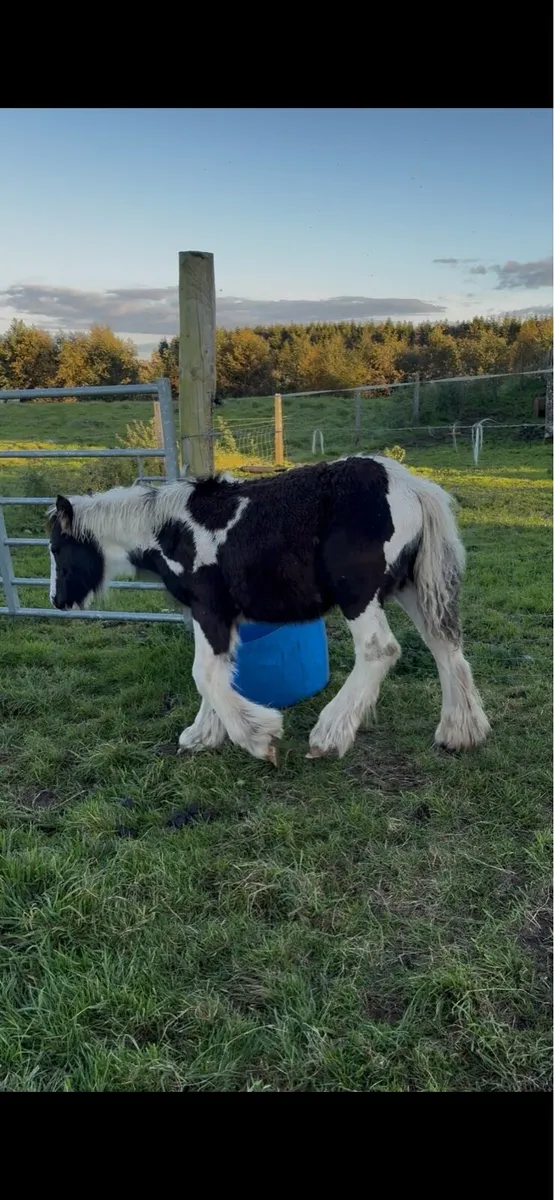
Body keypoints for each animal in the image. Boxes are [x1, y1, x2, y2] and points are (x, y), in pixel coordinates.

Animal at [47, 455, 490, 764]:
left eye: (56, 548)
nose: (56, 600)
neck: (169, 530)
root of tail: (412, 486)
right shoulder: (219, 617)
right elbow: (216, 672)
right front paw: (204, 735)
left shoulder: (210, 611)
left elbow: (204, 674)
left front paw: (260, 738)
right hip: (412, 587)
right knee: (445, 645)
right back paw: (461, 732)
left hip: (358, 595)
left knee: (380, 650)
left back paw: (328, 737)